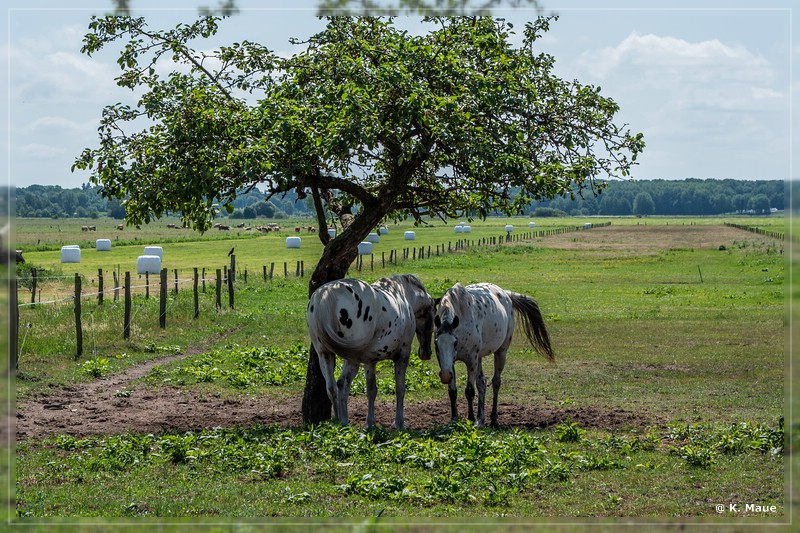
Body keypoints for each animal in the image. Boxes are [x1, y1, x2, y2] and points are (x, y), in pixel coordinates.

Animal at [306, 274, 434, 428]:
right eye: (433, 319)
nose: (426, 353)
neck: (402, 295)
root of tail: (324, 296)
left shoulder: (370, 361)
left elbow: (371, 390)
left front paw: (371, 423)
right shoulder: (402, 355)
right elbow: (400, 389)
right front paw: (399, 423)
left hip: (325, 354)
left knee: (332, 386)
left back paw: (339, 421)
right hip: (352, 358)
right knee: (342, 383)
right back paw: (343, 421)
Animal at [434, 282, 552, 428]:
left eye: (455, 342)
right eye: (436, 343)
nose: (444, 376)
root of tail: (506, 294)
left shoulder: (471, 360)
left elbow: (469, 391)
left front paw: (470, 419)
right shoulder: (449, 363)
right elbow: (452, 391)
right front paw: (454, 419)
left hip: (500, 352)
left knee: (496, 382)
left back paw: (493, 420)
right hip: (479, 358)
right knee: (482, 383)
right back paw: (481, 418)